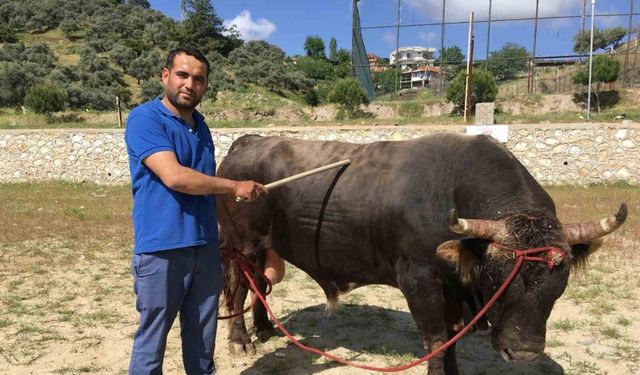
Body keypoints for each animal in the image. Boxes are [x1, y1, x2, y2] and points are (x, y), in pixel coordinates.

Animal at [218, 134, 628, 374]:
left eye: (561, 277)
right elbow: (435, 342)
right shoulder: (419, 279)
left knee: (258, 284)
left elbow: (451, 342)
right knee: (239, 286)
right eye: (496, 272)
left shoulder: (452, 287)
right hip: (241, 244)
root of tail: (247, 142)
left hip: (265, 247)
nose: (523, 352)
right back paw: (240, 340)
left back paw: (265, 327)